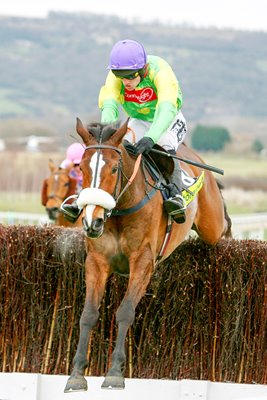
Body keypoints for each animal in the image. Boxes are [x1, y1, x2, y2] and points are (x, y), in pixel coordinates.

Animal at [64, 117, 232, 392]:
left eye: (114, 169)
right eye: (83, 169)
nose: (92, 221)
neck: (120, 210)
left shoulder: (143, 262)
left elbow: (125, 312)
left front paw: (114, 374)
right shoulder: (97, 261)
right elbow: (87, 314)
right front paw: (76, 375)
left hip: (212, 224)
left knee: (224, 226)